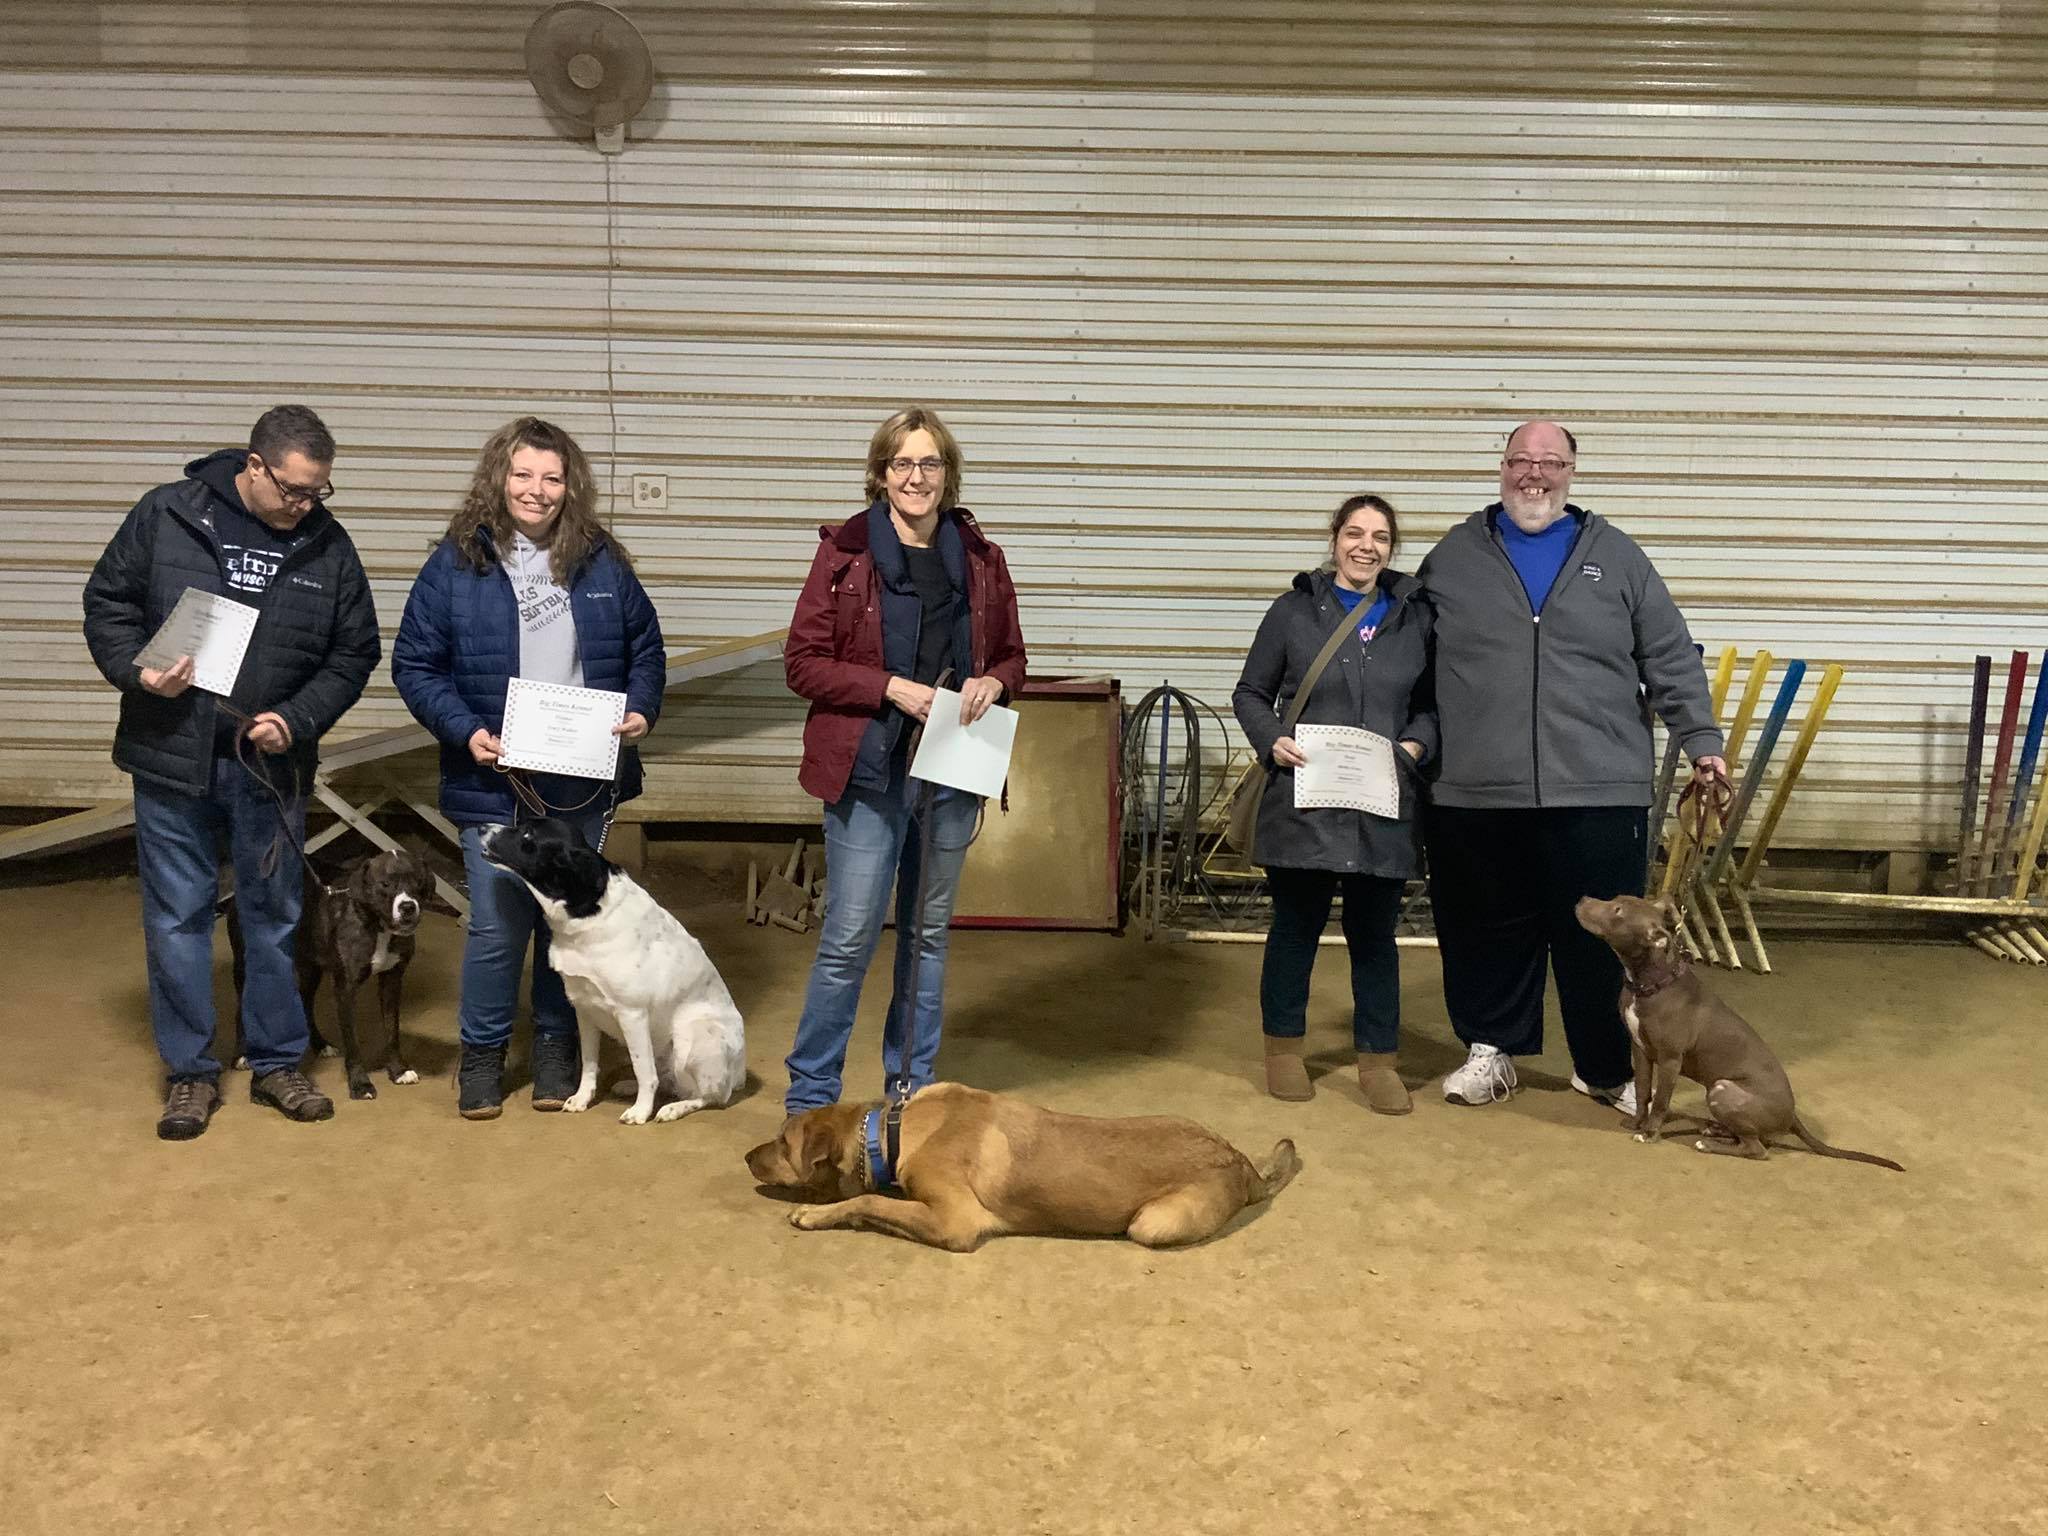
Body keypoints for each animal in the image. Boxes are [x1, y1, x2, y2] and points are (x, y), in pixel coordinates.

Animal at [228, 849, 439, 1100]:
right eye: (385, 884)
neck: (376, 926)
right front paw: (360, 1084)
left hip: (310, 967)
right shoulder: (345, 990)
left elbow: (392, 1031)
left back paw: (320, 1044)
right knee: (241, 1008)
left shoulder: (392, 981)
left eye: (418, 882)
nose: (408, 907)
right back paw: (242, 1055)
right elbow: (353, 1044)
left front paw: (398, 1071)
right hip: (246, 966)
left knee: (306, 1003)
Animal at [480, 817, 745, 1124]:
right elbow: (589, 1063)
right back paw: (631, 1087)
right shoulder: (583, 1008)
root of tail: (740, 1075)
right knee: (671, 1081)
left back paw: (671, 1109)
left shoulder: (633, 1014)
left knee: (709, 1096)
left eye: (527, 834)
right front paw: (582, 1099)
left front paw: (641, 1111)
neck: (587, 915)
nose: (480, 827)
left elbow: (643, 1070)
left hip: (696, 1037)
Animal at [744, 1083, 1301, 1251]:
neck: (893, 1133)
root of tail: (1241, 1161)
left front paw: (817, 1214)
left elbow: (868, 1199)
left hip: (1153, 1223)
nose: (746, 1157)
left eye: (782, 1141)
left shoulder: (956, 1222)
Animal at [1574, 894, 1903, 1170]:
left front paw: (1651, 1132)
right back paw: (1715, 1129)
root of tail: (1792, 1115)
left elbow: (1661, 1101)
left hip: (1723, 1089)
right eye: (1616, 900)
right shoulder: (1641, 1049)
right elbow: (1644, 1092)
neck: (1653, 982)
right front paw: (1637, 1123)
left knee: (1756, 1149)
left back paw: (1709, 1143)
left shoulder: (1669, 1060)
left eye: (1617, 911)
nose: (1582, 898)